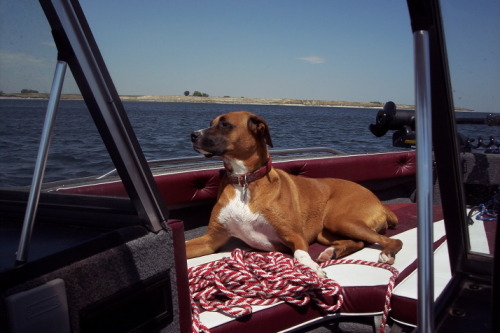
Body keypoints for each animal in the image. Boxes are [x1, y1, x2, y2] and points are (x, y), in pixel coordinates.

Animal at [187, 110, 402, 276]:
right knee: (358, 242)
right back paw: (332, 252)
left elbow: (300, 254)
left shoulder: (295, 236)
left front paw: (312, 268)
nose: (193, 135)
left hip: (340, 220)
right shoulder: (211, 240)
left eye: (225, 124)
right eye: (211, 123)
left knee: (393, 240)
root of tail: (379, 202)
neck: (245, 180)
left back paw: (386, 253)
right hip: (327, 232)